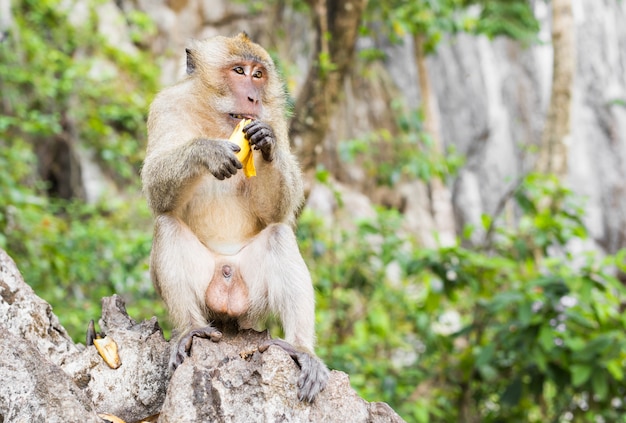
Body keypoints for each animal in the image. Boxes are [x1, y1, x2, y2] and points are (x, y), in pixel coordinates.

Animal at [140, 32, 330, 400]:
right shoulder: (167, 106)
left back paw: (302, 349)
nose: (253, 95)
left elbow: (278, 211)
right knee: (167, 225)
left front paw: (267, 145)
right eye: (239, 71)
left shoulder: (275, 118)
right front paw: (206, 150)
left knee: (278, 235)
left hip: (253, 296)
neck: (218, 119)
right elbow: (156, 189)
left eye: (258, 74)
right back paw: (191, 330)